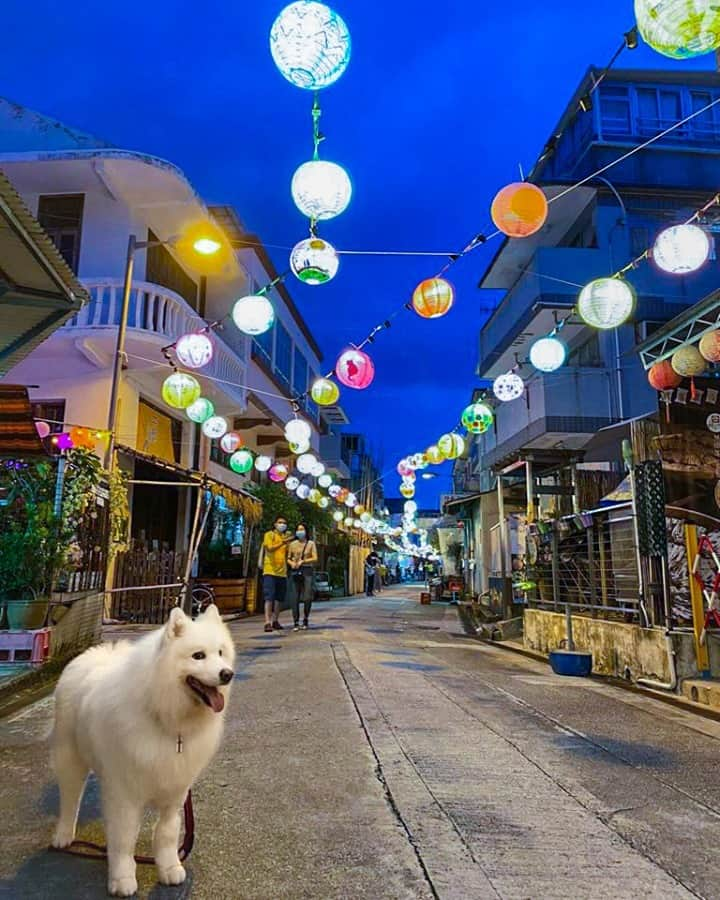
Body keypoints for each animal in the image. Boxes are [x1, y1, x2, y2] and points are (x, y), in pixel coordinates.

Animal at [51, 604, 236, 892]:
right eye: (198, 656)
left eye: (221, 652)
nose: (227, 674)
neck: (167, 719)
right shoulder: (125, 793)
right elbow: (124, 838)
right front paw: (122, 879)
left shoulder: (175, 792)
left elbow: (167, 834)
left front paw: (170, 868)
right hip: (70, 758)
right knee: (70, 798)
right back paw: (63, 835)